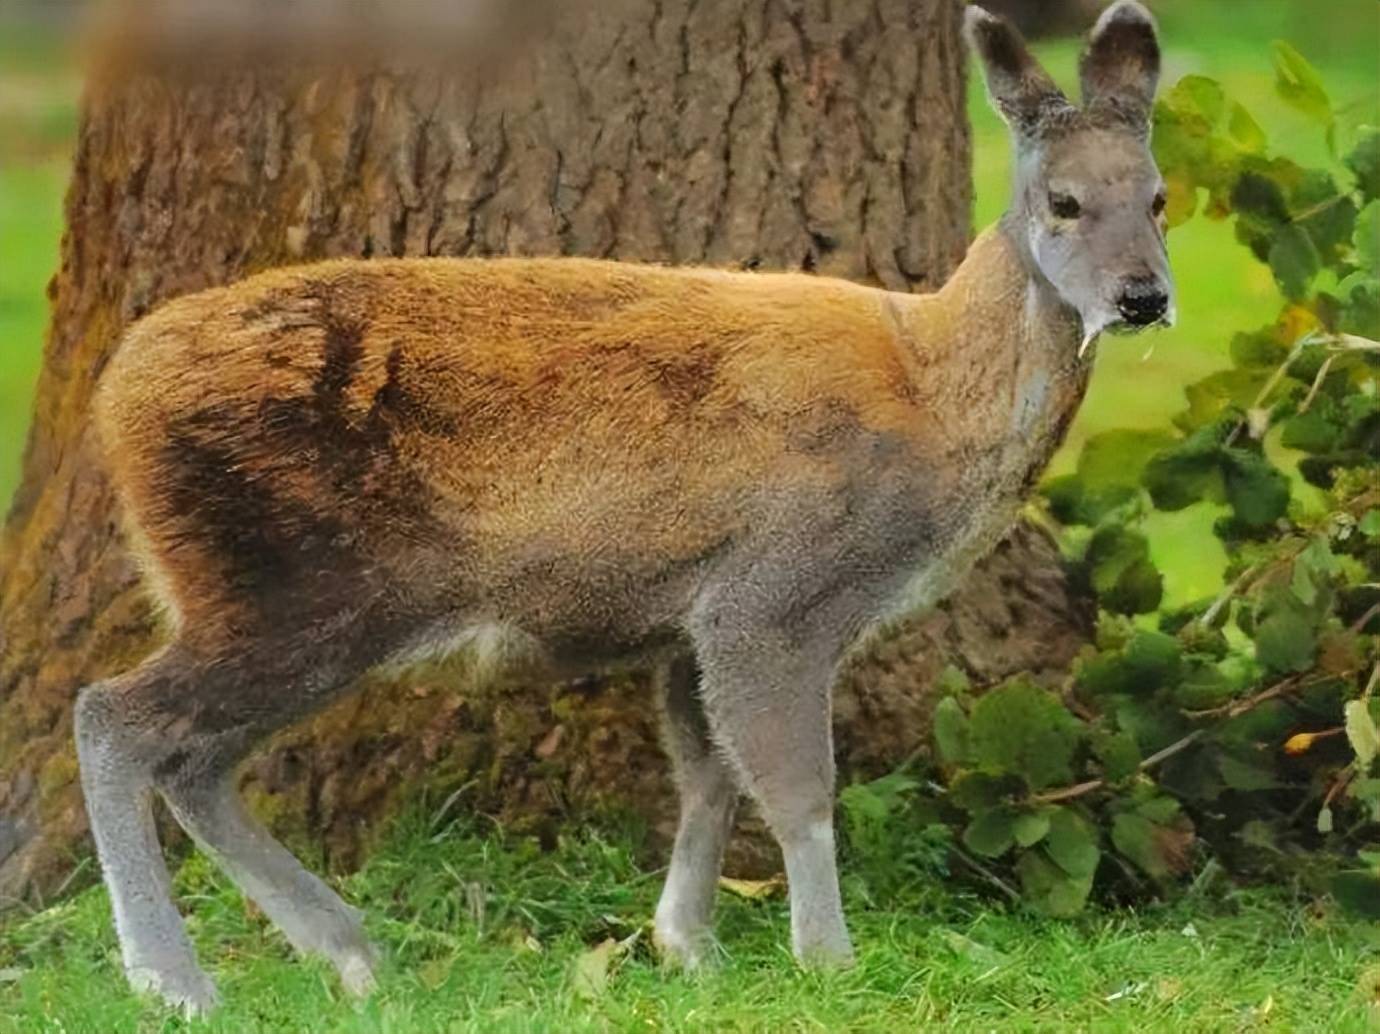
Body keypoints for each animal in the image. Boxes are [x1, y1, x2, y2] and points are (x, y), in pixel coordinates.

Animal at [75, 0, 1170, 1010]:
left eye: (1160, 197)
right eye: (1063, 200)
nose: (1146, 297)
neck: (931, 397)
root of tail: (115, 395)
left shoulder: (691, 614)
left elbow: (709, 772)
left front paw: (689, 943)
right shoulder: (774, 588)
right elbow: (796, 786)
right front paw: (828, 958)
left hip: (285, 599)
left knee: (194, 761)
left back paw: (348, 951)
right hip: (288, 582)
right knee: (118, 718)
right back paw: (175, 981)